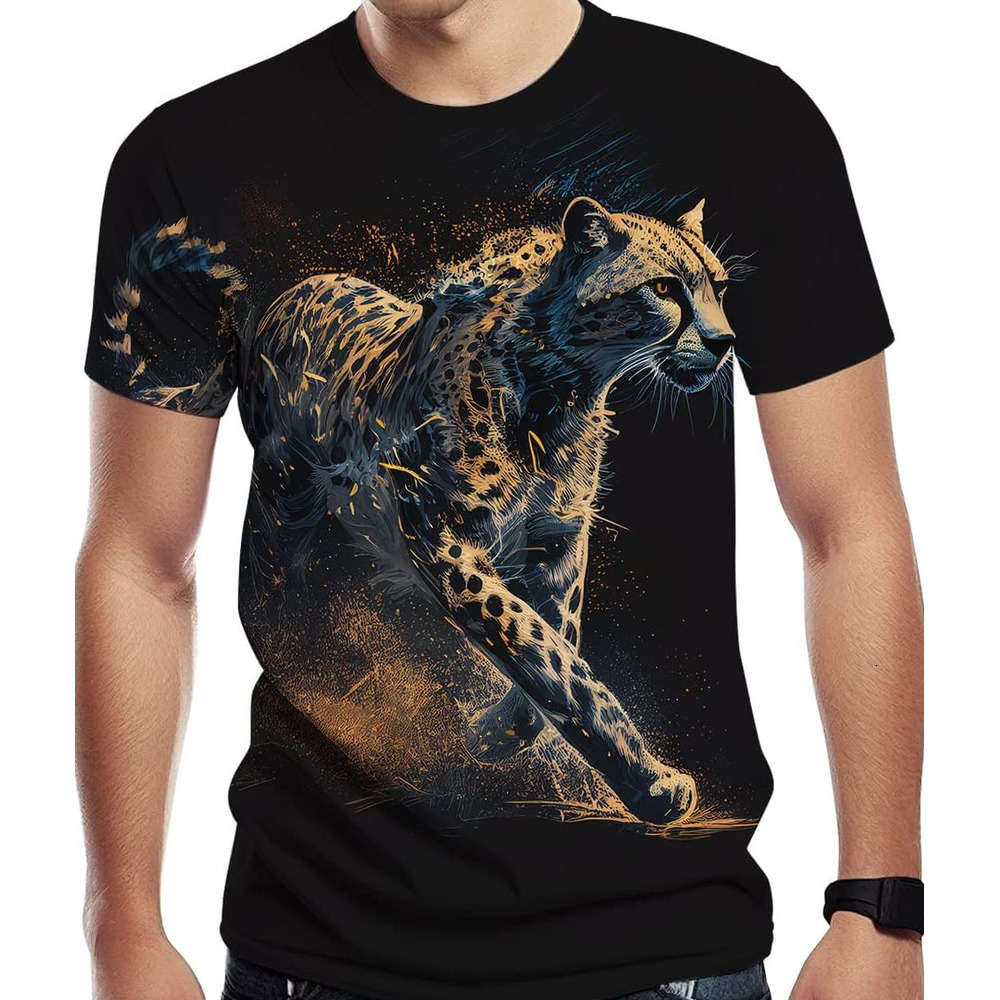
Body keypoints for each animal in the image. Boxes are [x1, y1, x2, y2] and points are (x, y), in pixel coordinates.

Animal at [105, 196, 736, 825]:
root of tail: (290, 294)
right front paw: (653, 782)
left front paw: (496, 734)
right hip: (284, 508)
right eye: (664, 288)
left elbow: (559, 635)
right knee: (275, 588)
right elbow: (545, 650)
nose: (725, 341)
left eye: (720, 287)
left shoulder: (558, 538)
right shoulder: (443, 539)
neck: (563, 395)